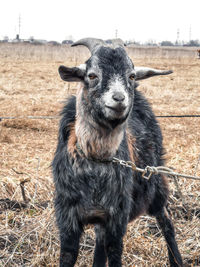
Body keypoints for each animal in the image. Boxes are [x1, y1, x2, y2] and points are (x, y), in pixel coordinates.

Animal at [52, 38, 183, 267]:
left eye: (130, 75)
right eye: (92, 75)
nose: (119, 98)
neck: (96, 159)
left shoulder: (116, 220)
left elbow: (114, 255)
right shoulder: (68, 221)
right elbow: (68, 256)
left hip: (156, 184)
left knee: (166, 222)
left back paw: (177, 260)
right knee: (99, 243)